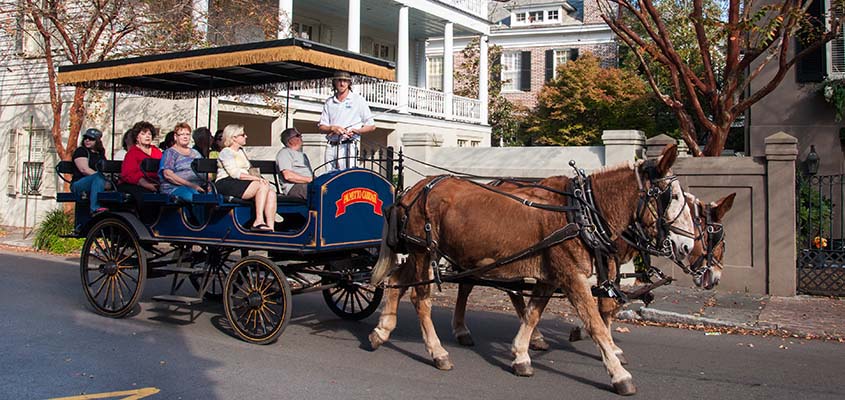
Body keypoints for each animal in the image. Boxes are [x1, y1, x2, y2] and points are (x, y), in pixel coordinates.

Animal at [370, 145, 692, 396]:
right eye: (672, 197)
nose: (687, 245)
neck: (581, 212)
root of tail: (413, 189)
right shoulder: (572, 277)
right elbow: (595, 324)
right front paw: (618, 373)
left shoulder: (551, 275)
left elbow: (533, 313)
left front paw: (521, 354)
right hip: (424, 251)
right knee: (421, 299)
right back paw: (437, 352)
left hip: (420, 253)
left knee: (397, 280)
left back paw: (382, 330)